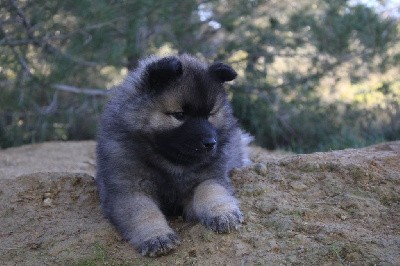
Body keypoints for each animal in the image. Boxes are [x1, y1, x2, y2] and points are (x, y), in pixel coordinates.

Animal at [95, 54, 252, 256]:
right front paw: (157, 236)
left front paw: (223, 212)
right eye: (179, 115)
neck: (171, 163)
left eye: (210, 114)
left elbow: (210, 190)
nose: (211, 143)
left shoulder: (210, 176)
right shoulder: (127, 190)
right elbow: (144, 212)